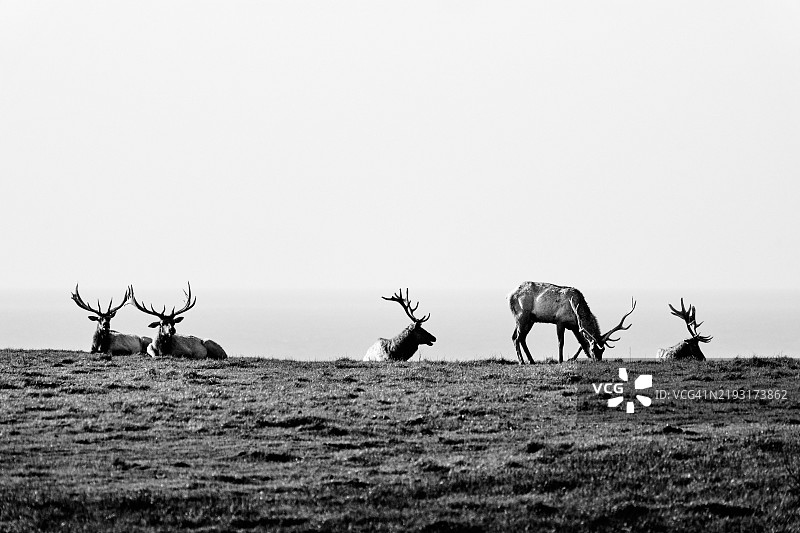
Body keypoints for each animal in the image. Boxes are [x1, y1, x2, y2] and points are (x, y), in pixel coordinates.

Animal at [508, 281, 636, 364]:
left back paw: (531, 361)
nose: (598, 360)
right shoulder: (560, 321)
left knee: (520, 337)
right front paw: (560, 360)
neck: (576, 311)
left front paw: (571, 359)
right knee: (517, 337)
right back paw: (522, 361)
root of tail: (509, 295)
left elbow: (581, 343)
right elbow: (561, 342)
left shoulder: (575, 326)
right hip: (522, 316)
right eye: (594, 349)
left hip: (530, 319)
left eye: (603, 350)